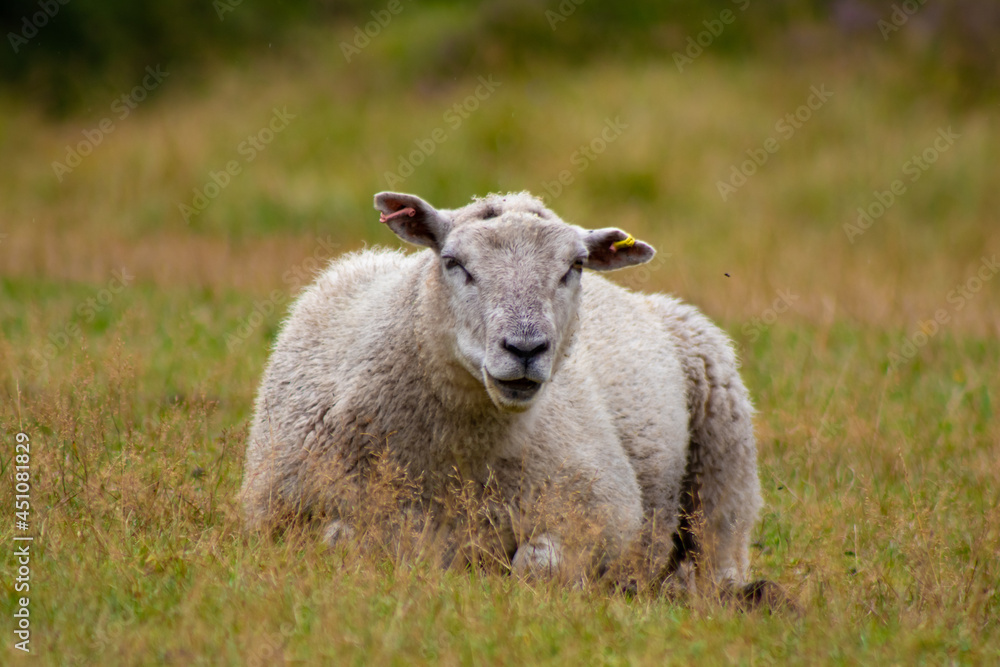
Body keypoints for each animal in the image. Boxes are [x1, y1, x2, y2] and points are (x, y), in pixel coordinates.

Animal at [244, 190, 772, 604]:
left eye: (575, 266)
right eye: (453, 263)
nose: (525, 348)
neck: (454, 461)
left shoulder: (603, 511)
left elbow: (537, 565)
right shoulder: (278, 516)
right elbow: (340, 541)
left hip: (723, 445)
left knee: (721, 542)